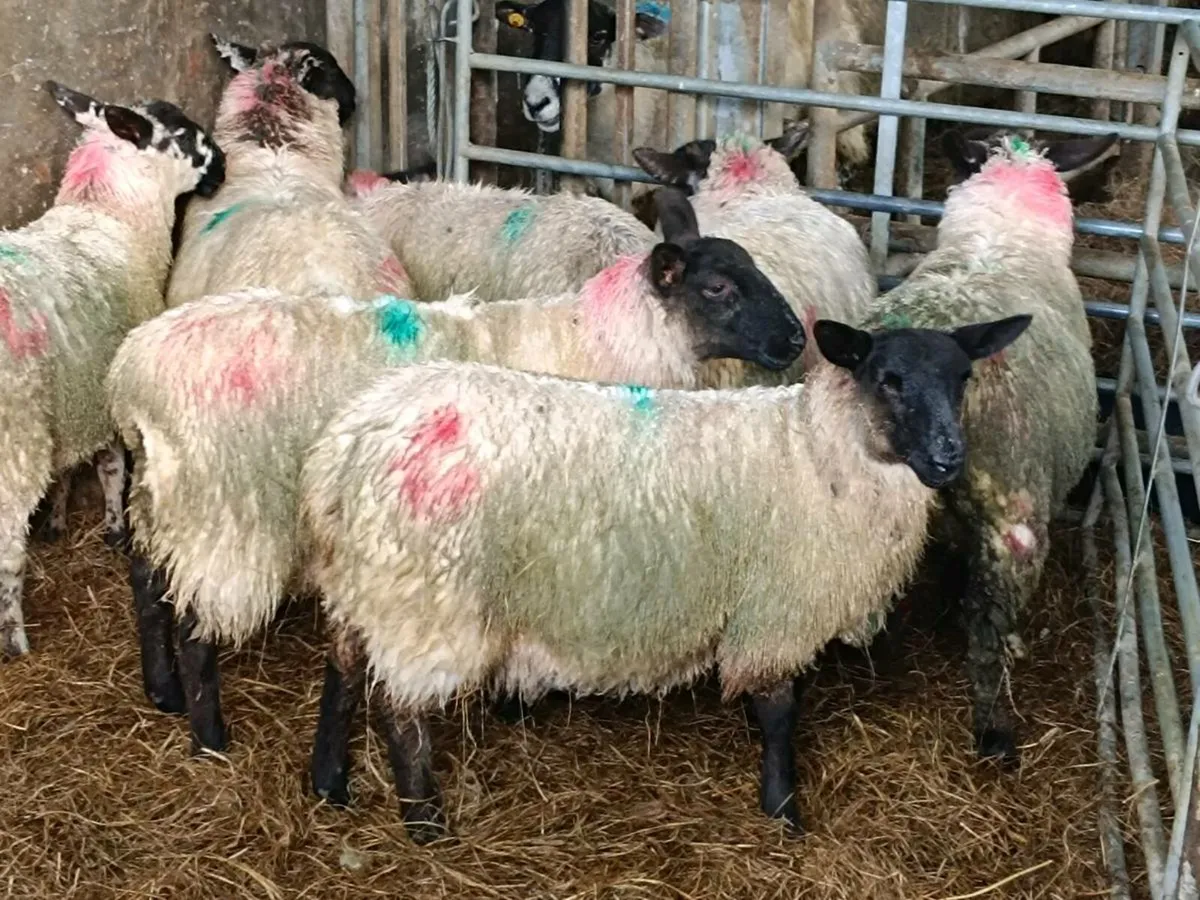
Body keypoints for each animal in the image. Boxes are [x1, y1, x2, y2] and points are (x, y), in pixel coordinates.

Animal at [0, 81, 224, 659]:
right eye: (185, 135)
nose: (223, 166)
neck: (110, 215)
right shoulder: (109, 391)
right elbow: (110, 466)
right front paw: (115, 528)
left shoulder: (73, 396)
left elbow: (68, 468)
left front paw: (59, 518)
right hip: (14, 446)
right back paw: (15, 641)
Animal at [299, 311, 1032, 842]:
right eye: (888, 377)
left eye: (963, 378)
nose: (948, 458)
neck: (818, 449)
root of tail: (347, 442)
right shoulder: (776, 607)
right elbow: (779, 710)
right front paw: (783, 809)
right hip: (425, 599)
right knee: (399, 710)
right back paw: (426, 824)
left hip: (364, 582)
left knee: (342, 669)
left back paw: (328, 782)